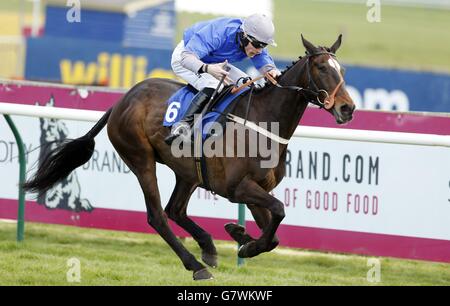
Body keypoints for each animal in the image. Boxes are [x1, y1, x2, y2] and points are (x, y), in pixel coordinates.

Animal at [23, 35, 356, 280]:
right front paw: (243, 243)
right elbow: (279, 210)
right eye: (322, 68)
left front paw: (240, 236)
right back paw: (196, 265)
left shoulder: (256, 188)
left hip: (188, 172)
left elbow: (273, 231)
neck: (263, 123)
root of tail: (122, 100)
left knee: (175, 210)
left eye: (342, 71)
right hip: (140, 159)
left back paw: (208, 247)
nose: (348, 108)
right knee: (158, 215)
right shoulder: (237, 187)